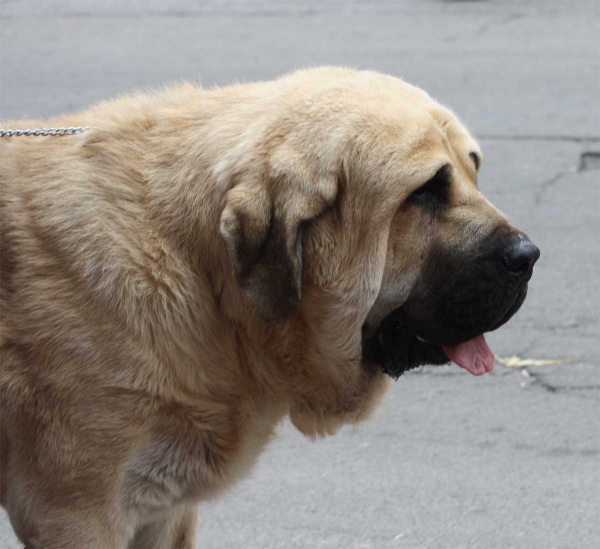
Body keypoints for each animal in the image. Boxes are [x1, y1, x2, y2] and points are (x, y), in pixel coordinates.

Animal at [0, 66, 540, 544]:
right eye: (425, 192)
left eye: (474, 171)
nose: (528, 257)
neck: (204, 279)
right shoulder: (79, 515)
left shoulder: (163, 511)